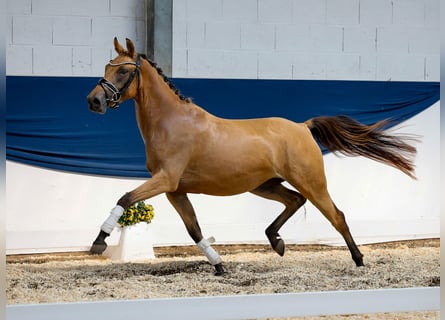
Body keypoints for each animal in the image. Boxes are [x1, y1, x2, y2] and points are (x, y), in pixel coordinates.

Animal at [86, 37, 416, 276]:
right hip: (264, 185)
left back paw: (359, 260)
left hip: (311, 183)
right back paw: (276, 241)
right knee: (295, 200)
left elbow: (125, 198)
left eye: (124, 70)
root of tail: (302, 127)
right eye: (106, 66)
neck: (172, 122)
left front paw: (99, 242)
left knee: (337, 215)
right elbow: (194, 230)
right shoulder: (175, 191)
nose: (94, 101)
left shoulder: (165, 181)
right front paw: (219, 265)